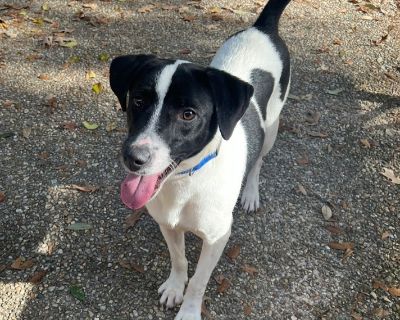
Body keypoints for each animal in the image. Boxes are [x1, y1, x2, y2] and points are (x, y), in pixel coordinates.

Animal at [109, 0, 290, 318]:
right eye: (138, 101)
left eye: (188, 114)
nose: (133, 158)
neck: (186, 181)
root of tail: (262, 28)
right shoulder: (167, 224)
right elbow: (180, 261)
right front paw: (173, 288)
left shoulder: (218, 237)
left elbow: (199, 280)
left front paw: (190, 310)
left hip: (272, 128)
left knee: (258, 161)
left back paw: (251, 193)